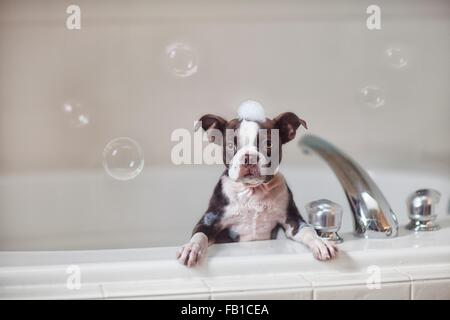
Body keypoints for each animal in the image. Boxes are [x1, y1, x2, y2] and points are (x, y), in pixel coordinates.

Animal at [177, 101, 338, 266]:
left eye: (268, 144)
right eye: (230, 146)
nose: (249, 157)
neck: (253, 191)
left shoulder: (293, 221)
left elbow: (308, 230)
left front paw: (321, 242)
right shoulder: (209, 220)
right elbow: (199, 235)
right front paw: (191, 248)